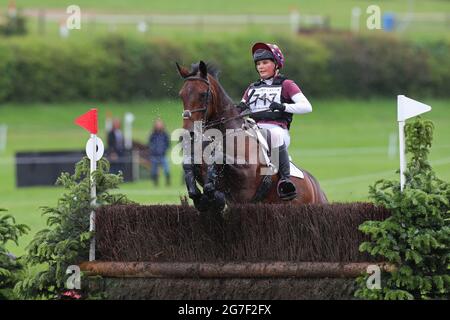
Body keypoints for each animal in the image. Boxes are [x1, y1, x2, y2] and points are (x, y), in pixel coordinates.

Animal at [176, 62, 326, 212]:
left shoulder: (247, 176)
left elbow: (219, 160)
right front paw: (201, 196)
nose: (188, 133)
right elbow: (190, 168)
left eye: (203, 94)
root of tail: (316, 186)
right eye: (181, 95)